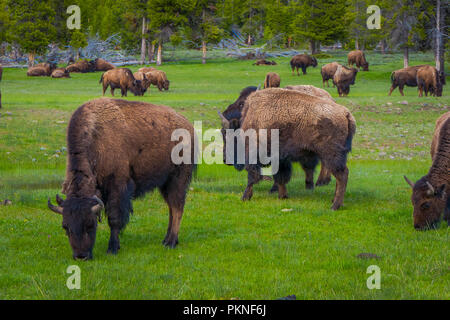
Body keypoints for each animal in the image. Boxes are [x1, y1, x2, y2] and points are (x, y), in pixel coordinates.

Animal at [46, 98, 196, 260]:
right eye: (65, 226)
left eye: (90, 224)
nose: (81, 256)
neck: (96, 136)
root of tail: (189, 127)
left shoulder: (117, 187)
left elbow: (114, 218)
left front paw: (112, 248)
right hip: (165, 184)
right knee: (171, 208)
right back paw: (166, 240)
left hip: (178, 179)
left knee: (177, 207)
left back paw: (171, 242)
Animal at [218, 89, 356, 211]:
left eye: (228, 135)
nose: (225, 160)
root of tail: (346, 114)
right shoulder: (280, 159)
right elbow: (281, 177)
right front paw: (282, 196)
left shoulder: (254, 156)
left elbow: (252, 177)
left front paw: (245, 197)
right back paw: (335, 201)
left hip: (331, 155)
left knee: (342, 175)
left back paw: (335, 206)